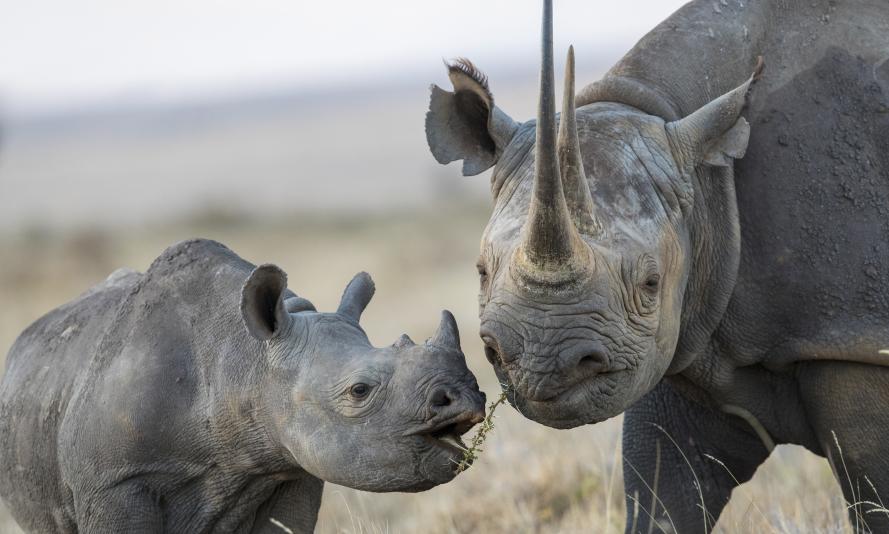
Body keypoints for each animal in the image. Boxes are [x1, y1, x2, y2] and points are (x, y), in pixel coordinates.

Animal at [424, 0, 888, 532]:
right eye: (481, 271)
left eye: (650, 281)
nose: (542, 364)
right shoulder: (678, 342)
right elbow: (662, 493)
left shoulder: (850, 337)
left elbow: (874, 494)